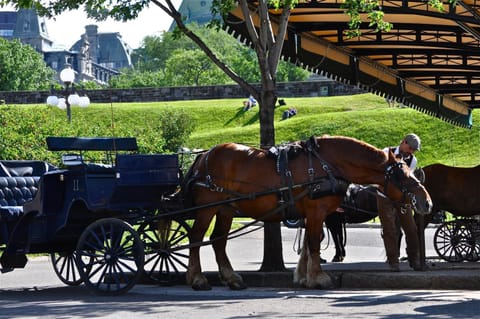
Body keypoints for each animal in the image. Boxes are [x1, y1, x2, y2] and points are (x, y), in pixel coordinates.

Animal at [183, 136, 432, 292]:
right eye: (404, 177)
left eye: (412, 171)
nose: (426, 202)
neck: (327, 166)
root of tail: (204, 155)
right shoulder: (316, 211)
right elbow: (313, 242)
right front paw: (319, 278)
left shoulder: (312, 214)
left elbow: (310, 243)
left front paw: (304, 276)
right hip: (207, 208)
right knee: (196, 238)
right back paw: (197, 279)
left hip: (225, 209)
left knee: (218, 240)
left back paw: (232, 278)